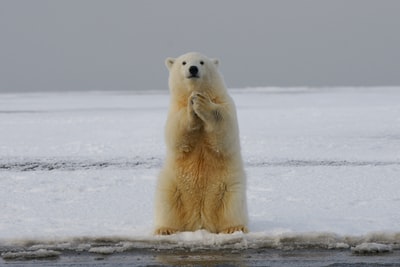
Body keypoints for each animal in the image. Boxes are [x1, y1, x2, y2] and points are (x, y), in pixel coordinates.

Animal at [155, 52, 248, 237]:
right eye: (184, 62)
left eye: (202, 62)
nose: (193, 69)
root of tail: (200, 222)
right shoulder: (174, 109)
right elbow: (176, 134)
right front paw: (192, 107)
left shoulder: (225, 103)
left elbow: (225, 131)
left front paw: (201, 102)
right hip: (173, 185)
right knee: (166, 201)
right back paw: (165, 229)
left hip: (229, 186)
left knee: (233, 205)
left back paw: (234, 228)